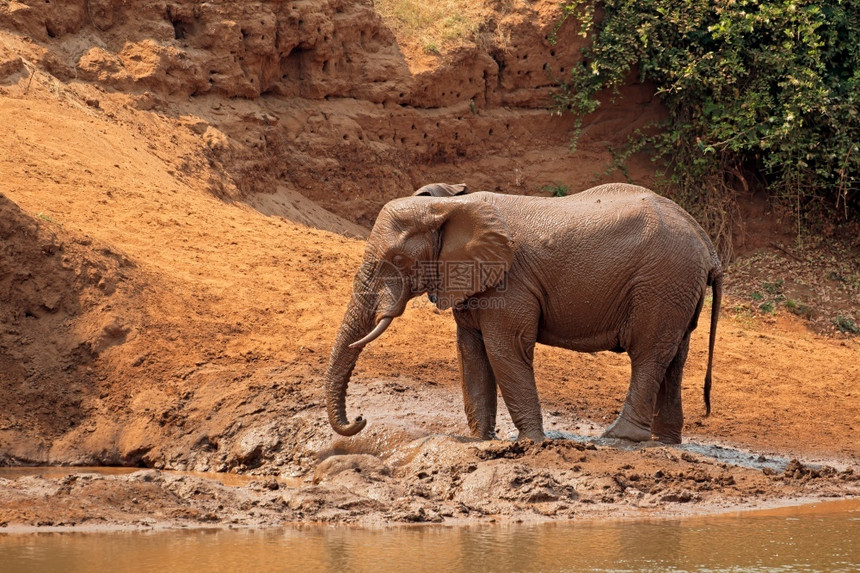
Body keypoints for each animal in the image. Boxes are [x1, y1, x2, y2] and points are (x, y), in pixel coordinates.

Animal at [326, 183, 724, 442]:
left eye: (395, 260)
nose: (360, 418)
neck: (451, 206)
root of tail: (708, 244)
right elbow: (471, 353)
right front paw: (480, 441)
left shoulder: (510, 282)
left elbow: (505, 350)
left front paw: (531, 442)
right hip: (675, 288)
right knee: (674, 358)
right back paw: (665, 440)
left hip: (661, 283)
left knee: (648, 355)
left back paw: (618, 438)